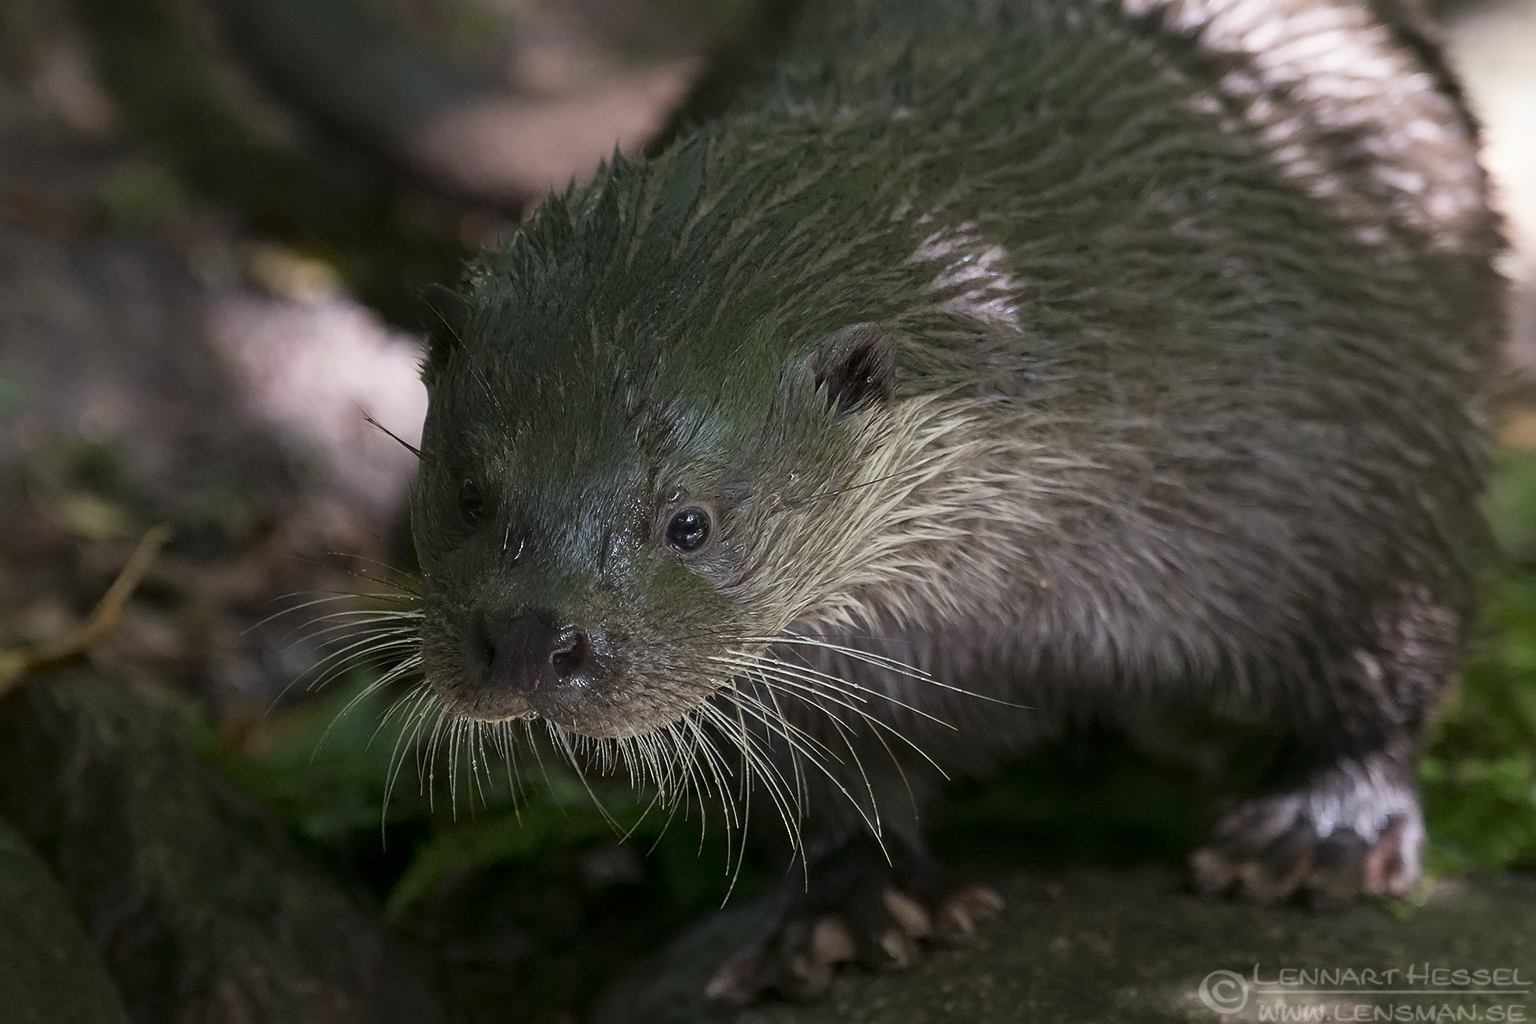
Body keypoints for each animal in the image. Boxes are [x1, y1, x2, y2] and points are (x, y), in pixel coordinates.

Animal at [405, 0, 1504, 1003]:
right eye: (469, 491)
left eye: (690, 522)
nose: (530, 638)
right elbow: (832, 772)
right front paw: (856, 902)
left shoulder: (1362, 475)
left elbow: (1383, 664)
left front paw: (1323, 831)